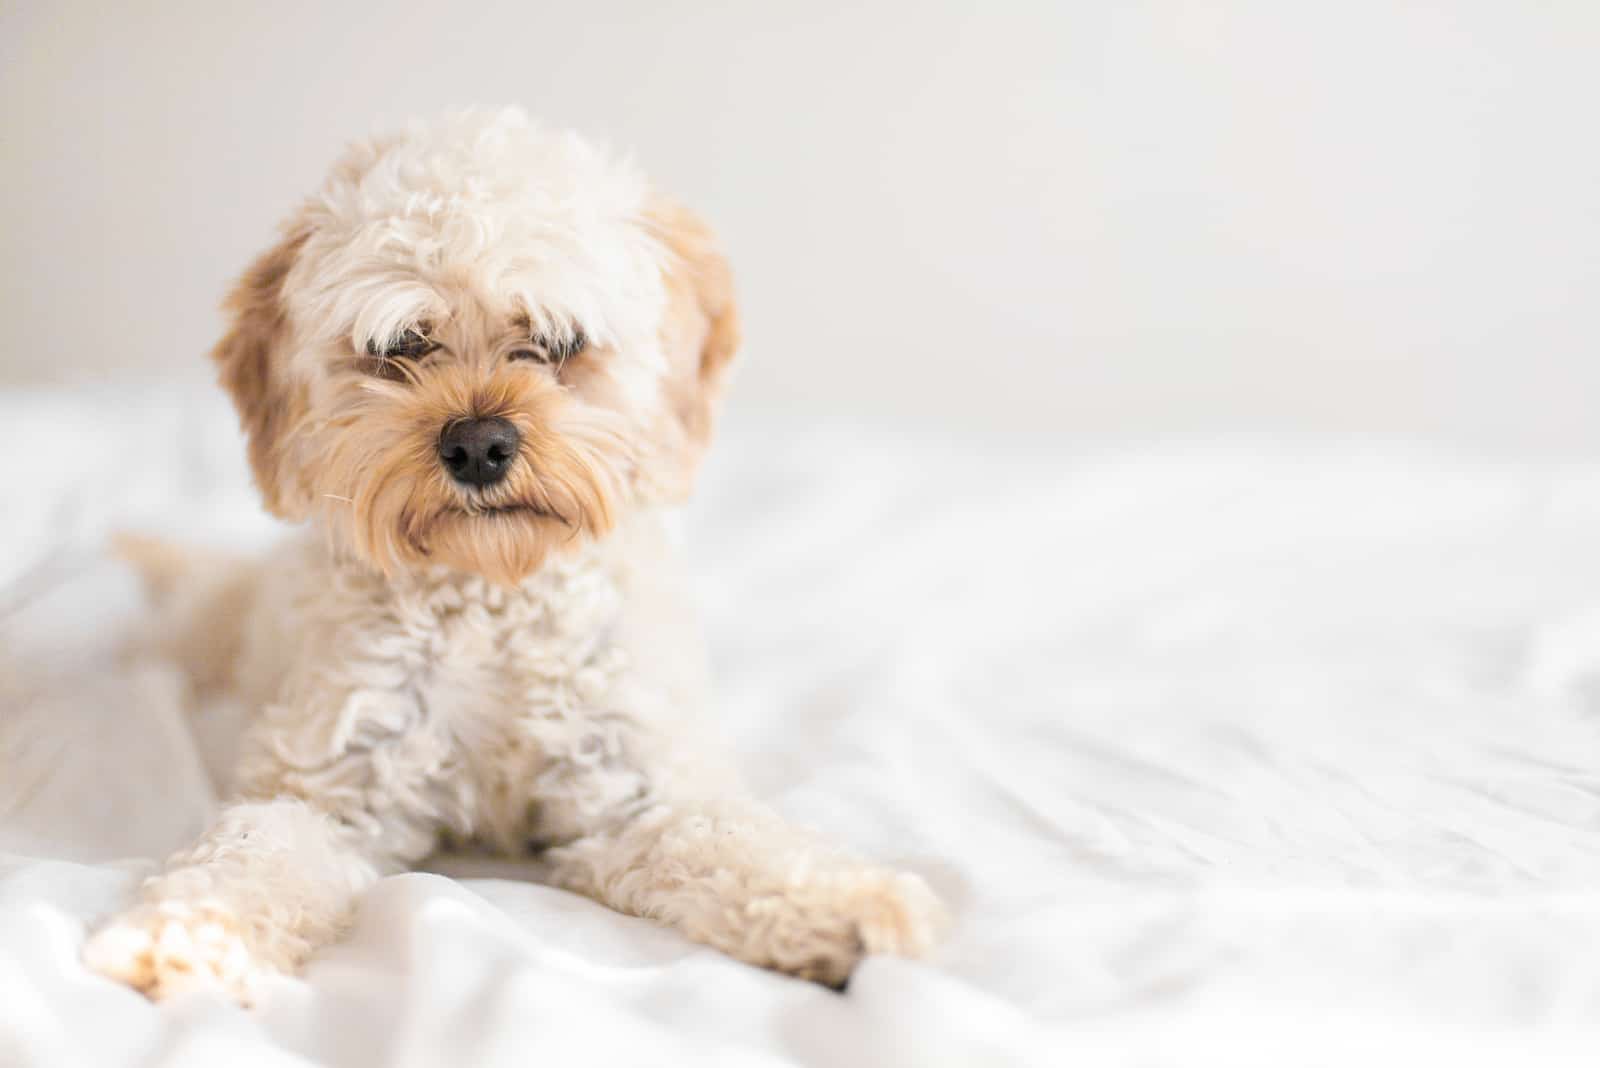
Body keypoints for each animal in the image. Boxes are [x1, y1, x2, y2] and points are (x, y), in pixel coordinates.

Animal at [81, 108, 940, 1004]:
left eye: (558, 341)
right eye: (401, 344)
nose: (478, 445)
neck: (493, 596)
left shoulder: (637, 794)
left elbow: (737, 843)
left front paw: (853, 904)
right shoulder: (327, 787)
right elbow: (250, 855)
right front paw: (181, 930)